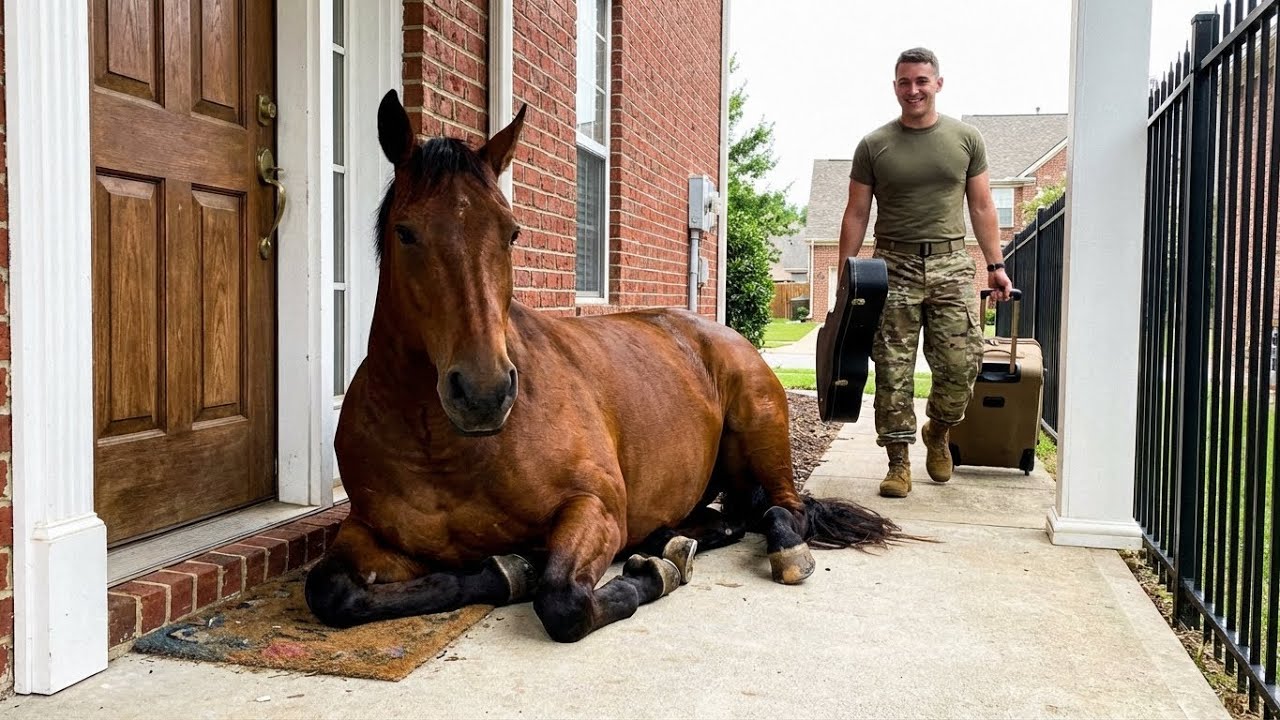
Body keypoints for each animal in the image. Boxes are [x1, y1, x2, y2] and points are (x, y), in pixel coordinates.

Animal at [304, 89, 904, 643]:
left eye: (511, 232)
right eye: (406, 231)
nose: (482, 393)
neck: (441, 447)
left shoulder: (593, 506)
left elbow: (564, 600)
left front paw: (650, 577)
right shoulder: (370, 532)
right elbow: (330, 591)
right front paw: (514, 568)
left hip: (762, 427)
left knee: (783, 510)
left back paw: (770, 550)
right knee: (732, 518)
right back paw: (667, 539)